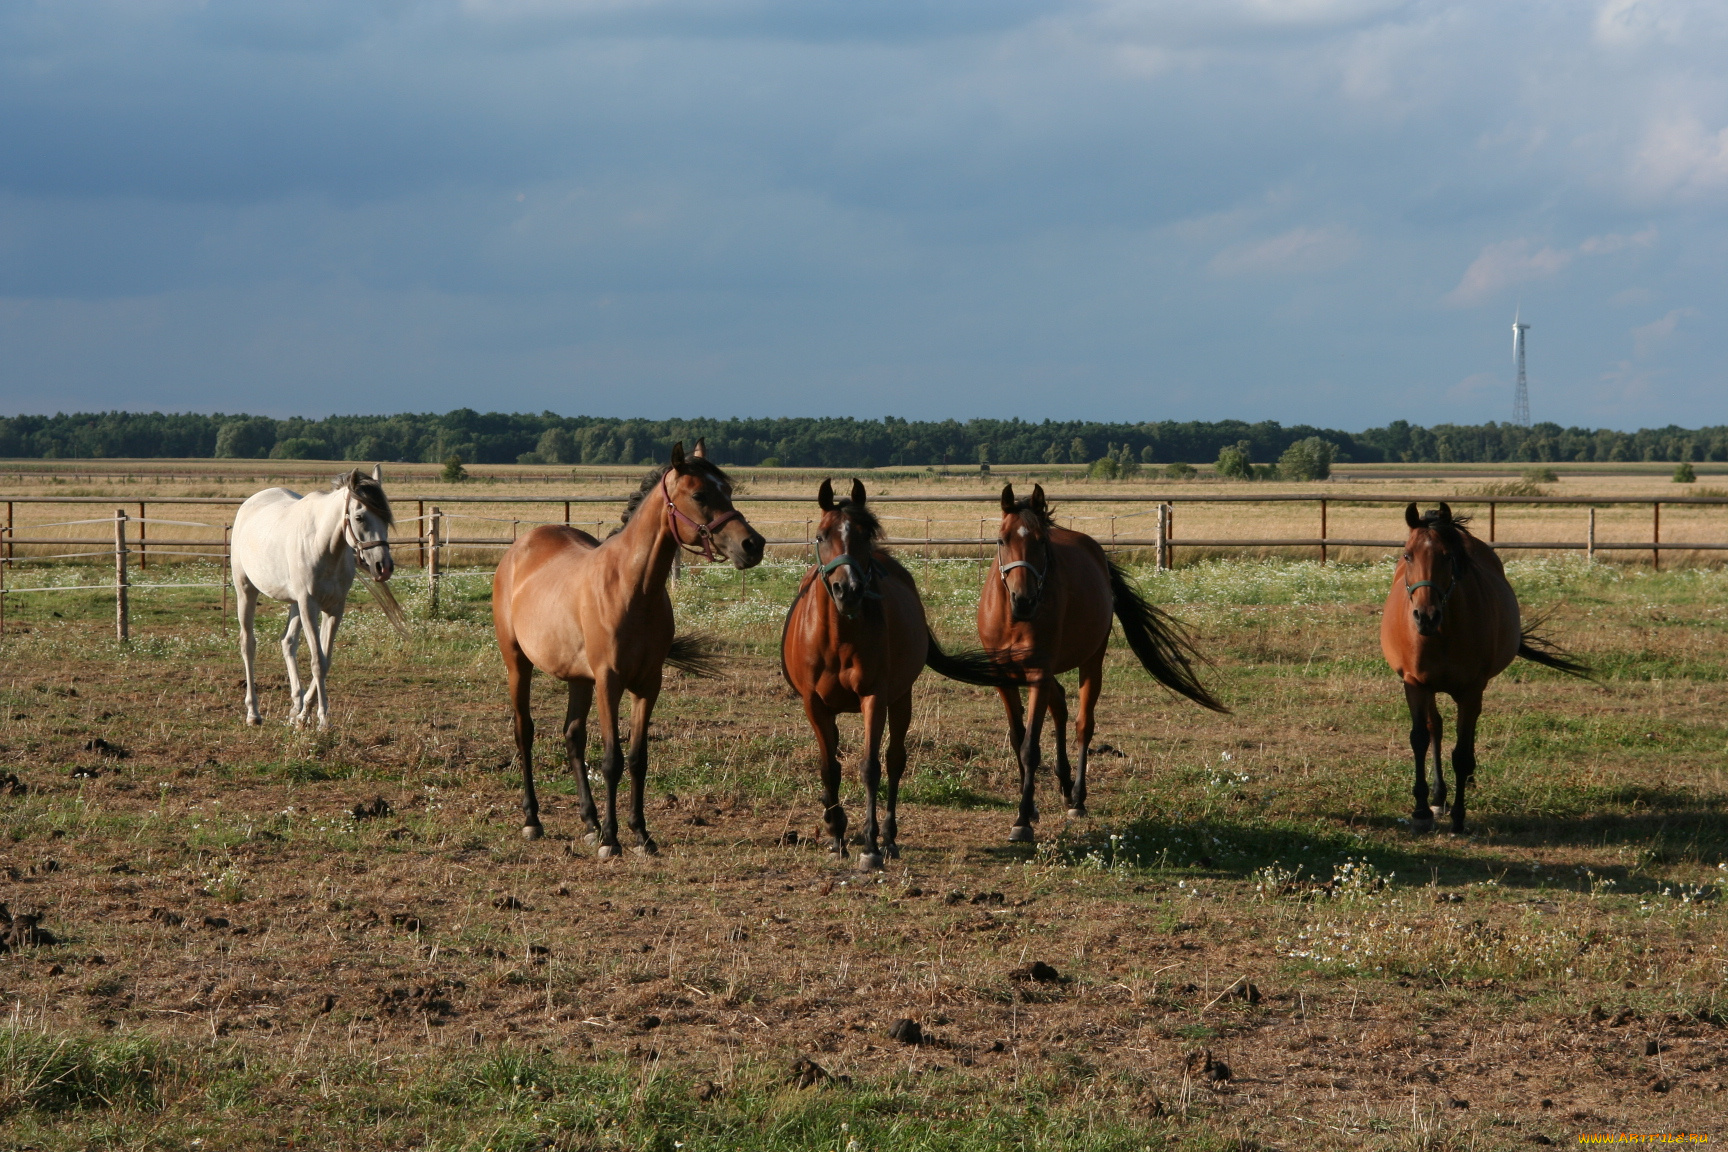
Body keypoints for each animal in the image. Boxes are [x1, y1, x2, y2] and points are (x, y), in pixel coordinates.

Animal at [231, 466, 399, 728]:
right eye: (359, 517)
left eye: (386, 517)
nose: (384, 567)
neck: (323, 545)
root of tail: (251, 503)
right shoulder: (310, 606)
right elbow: (317, 661)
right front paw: (322, 718)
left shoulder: (334, 608)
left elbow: (325, 660)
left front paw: (304, 714)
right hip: (246, 590)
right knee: (248, 644)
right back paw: (253, 713)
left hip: (294, 603)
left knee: (288, 642)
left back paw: (294, 706)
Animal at [494, 442, 763, 856]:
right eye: (700, 495)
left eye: (729, 490)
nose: (752, 545)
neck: (632, 588)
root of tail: (519, 549)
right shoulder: (610, 681)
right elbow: (612, 760)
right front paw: (611, 839)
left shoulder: (648, 684)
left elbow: (638, 758)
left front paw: (640, 834)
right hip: (518, 664)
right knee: (524, 731)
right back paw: (533, 820)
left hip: (579, 679)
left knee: (573, 736)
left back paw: (589, 822)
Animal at [781, 476, 1016, 863]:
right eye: (821, 535)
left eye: (865, 534)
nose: (848, 589)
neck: (837, 636)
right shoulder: (813, 705)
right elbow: (829, 768)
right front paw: (836, 835)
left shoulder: (874, 698)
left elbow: (871, 767)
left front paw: (870, 845)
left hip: (901, 698)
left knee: (894, 760)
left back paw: (889, 837)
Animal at [981, 483, 1237, 842]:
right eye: (1001, 540)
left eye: (1041, 541)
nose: (1024, 600)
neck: (1013, 619)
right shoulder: (1003, 677)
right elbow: (1018, 739)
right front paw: (1028, 808)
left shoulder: (1038, 673)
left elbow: (1030, 746)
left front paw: (1022, 820)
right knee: (1060, 705)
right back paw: (1063, 785)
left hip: (1092, 660)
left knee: (1082, 725)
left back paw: (1076, 798)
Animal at [1375, 500, 1589, 832]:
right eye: (1408, 555)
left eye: (1448, 556)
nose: (1426, 616)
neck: (1442, 633)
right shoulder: (1416, 684)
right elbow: (1421, 738)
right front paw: (1422, 809)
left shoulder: (1472, 689)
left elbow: (1462, 753)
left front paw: (1459, 816)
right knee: (1435, 728)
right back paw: (1438, 797)